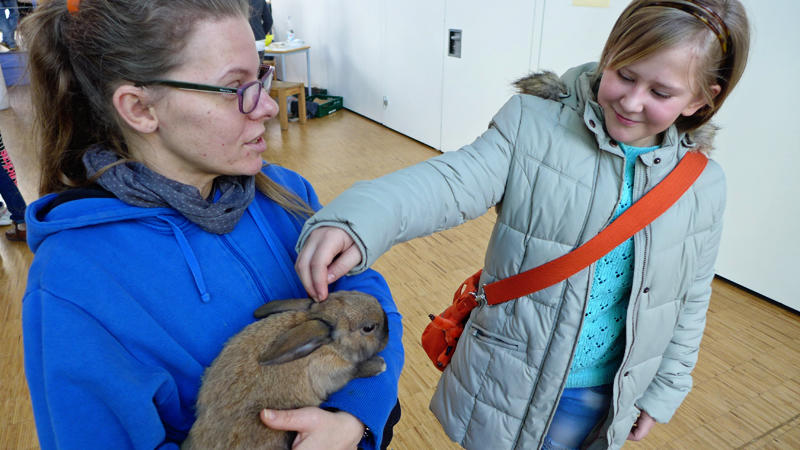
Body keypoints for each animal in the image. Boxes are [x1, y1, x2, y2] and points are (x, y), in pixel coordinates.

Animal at [184, 290, 390, 448]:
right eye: (368, 328)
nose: (388, 335)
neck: (331, 345)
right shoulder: (332, 375)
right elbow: (354, 370)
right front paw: (379, 365)